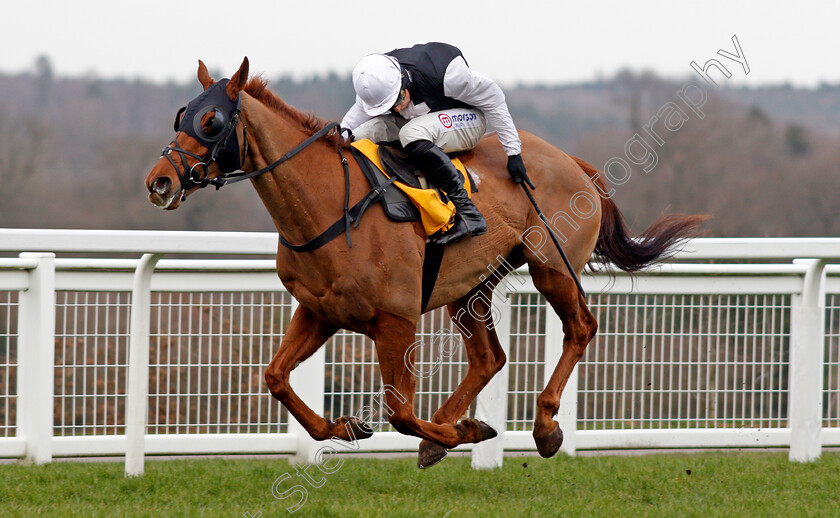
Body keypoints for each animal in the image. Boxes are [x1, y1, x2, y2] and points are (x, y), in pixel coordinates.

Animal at [148, 59, 704, 470]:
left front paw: (464, 429)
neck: (330, 207)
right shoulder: (320, 311)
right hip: (470, 288)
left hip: (553, 266)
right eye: (180, 115)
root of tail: (575, 164)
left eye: (212, 121)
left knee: (580, 328)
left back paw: (543, 426)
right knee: (488, 358)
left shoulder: (396, 320)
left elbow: (400, 411)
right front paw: (349, 427)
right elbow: (276, 377)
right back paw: (448, 431)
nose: (160, 182)